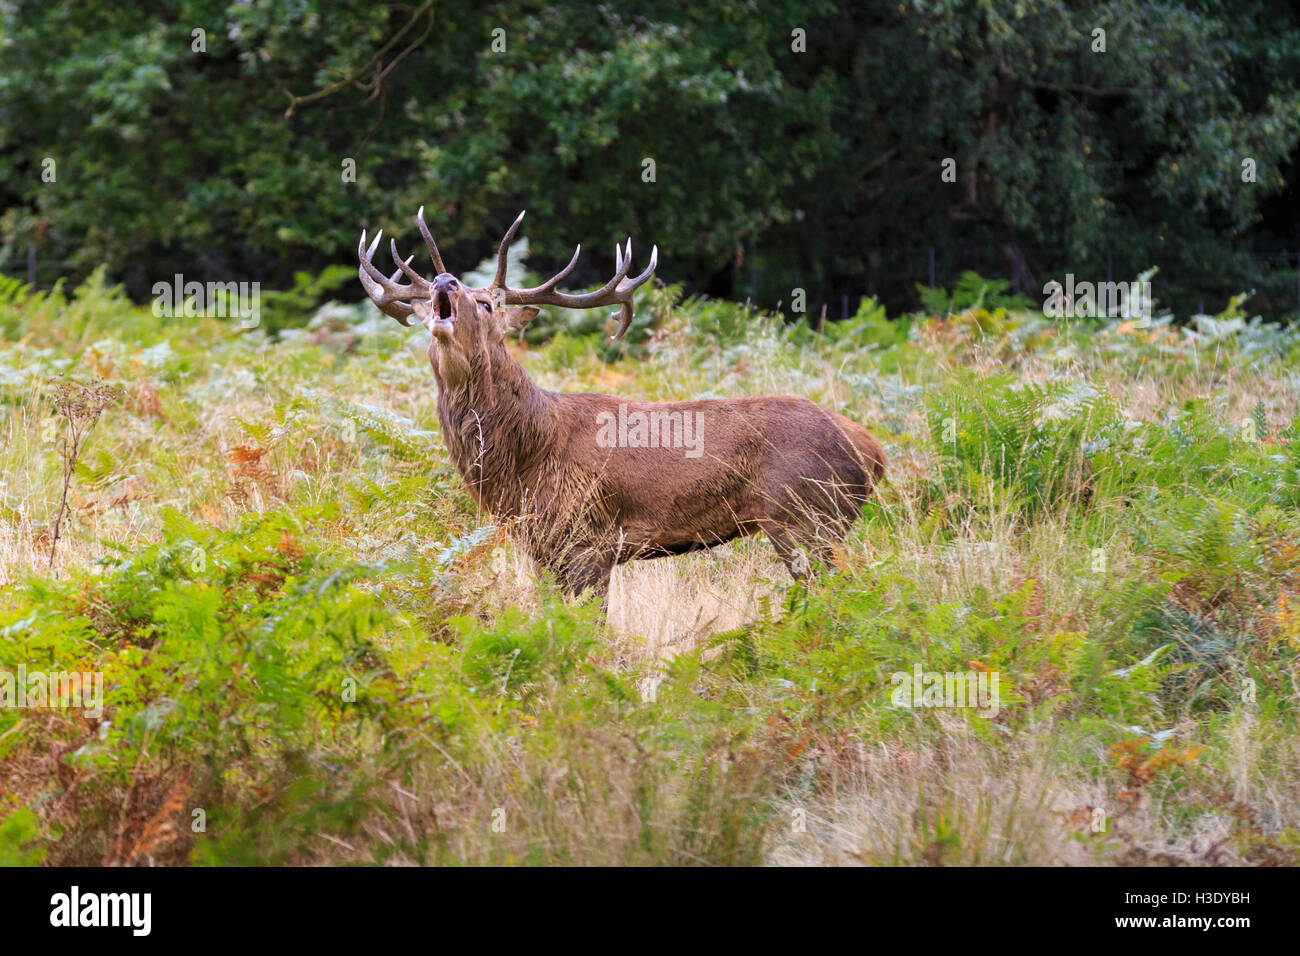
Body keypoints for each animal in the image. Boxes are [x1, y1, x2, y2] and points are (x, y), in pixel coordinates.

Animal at [356, 210, 883, 606]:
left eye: (486, 304)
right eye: (432, 293)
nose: (444, 281)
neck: (526, 463)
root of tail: (874, 452)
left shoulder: (591, 538)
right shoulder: (543, 549)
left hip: (806, 515)